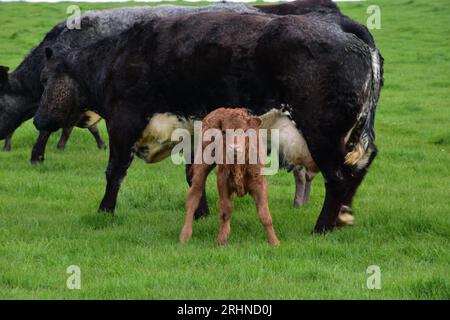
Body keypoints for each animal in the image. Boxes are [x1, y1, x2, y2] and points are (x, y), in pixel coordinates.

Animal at [34, 11, 384, 234]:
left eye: (45, 79)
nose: (38, 120)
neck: (116, 59)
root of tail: (342, 27)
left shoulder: (123, 123)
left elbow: (114, 172)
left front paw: (105, 210)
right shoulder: (191, 129)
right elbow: (193, 175)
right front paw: (200, 213)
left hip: (323, 134)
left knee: (338, 177)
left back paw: (323, 227)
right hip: (351, 136)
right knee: (358, 169)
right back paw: (342, 217)